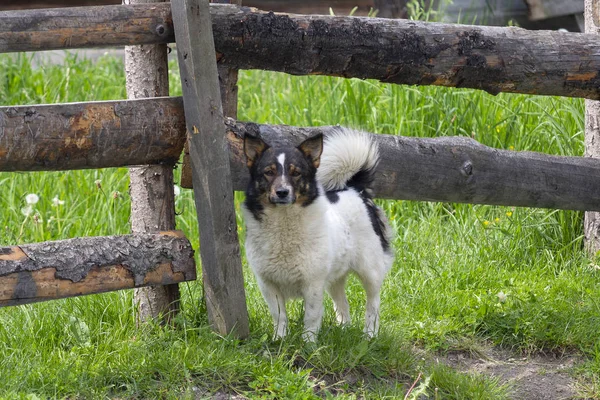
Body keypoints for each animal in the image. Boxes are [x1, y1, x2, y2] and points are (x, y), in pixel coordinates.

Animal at [241, 127, 396, 340]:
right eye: (269, 172)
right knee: (342, 304)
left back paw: (370, 334)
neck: (284, 223)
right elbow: (279, 315)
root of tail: (356, 190)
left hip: (370, 270)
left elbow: (311, 316)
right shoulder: (268, 284)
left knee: (373, 304)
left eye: (296, 173)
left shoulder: (313, 284)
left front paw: (308, 342)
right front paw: (279, 339)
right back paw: (344, 329)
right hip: (335, 277)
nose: (282, 192)